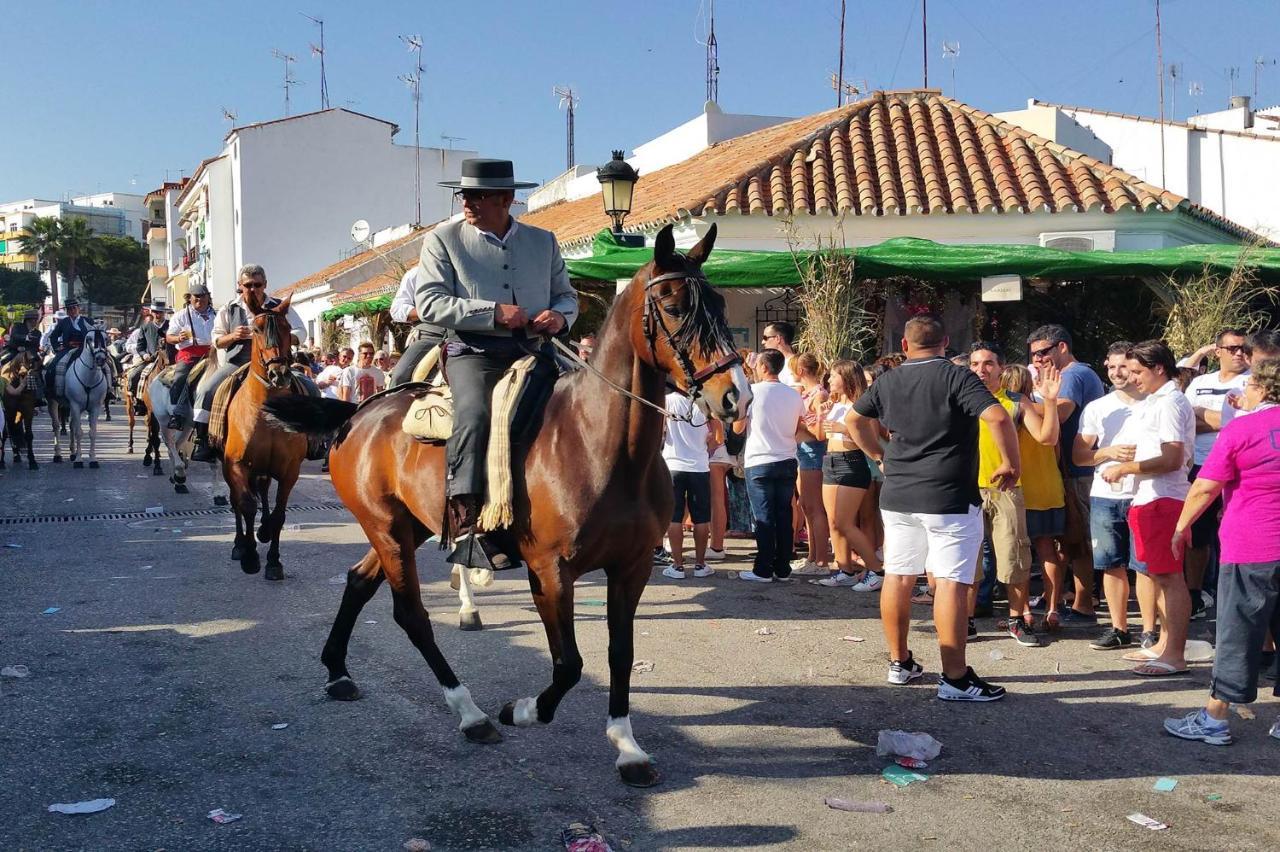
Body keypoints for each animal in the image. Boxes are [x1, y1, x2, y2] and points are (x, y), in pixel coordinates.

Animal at [222, 290, 307, 578]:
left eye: (288, 328)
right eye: (256, 330)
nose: (279, 374)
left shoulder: (289, 469)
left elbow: (279, 514)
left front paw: (273, 561)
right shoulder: (236, 464)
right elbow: (246, 505)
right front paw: (250, 556)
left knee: (264, 492)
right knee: (237, 500)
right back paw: (239, 545)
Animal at [264, 223, 747, 782]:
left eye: (719, 301)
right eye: (673, 306)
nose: (736, 397)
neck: (599, 445)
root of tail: (360, 412)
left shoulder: (632, 568)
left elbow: (620, 654)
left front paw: (627, 745)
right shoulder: (551, 571)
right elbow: (569, 665)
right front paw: (524, 710)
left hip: (408, 527)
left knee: (359, 582)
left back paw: (338, 670)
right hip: (387, 530)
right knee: (411, 614)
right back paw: (469, 712)